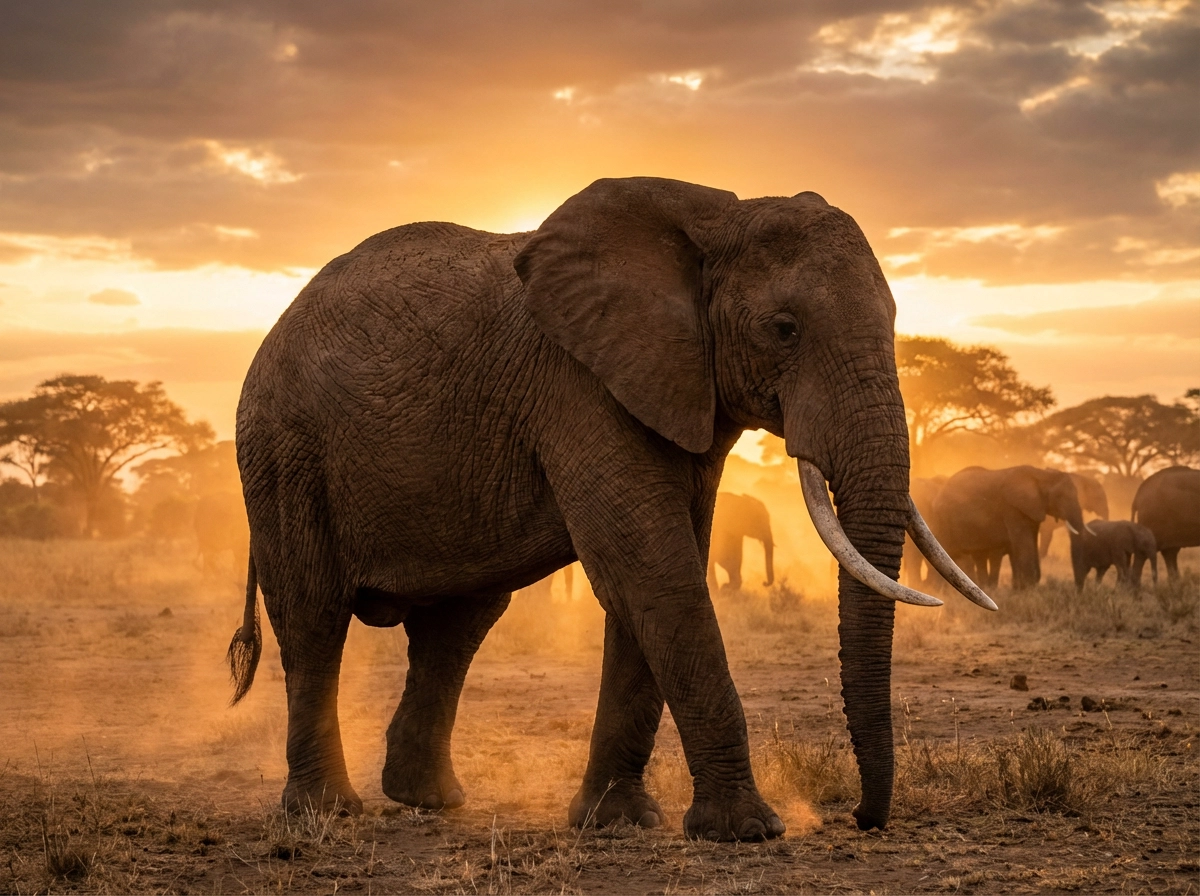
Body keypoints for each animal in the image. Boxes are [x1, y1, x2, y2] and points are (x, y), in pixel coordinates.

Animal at [227, 176, 992, 841]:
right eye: (783, 328)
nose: (862, 817)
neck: (717, 216)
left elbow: (651, 580)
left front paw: (615, 822)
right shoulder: (577, 385)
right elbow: (652, 569)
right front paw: (747, 831)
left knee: (457, 627)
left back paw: (429, 800)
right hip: (284, 449)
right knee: (314, 617)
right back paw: (326, 812)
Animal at [930, 466, 1085, 590]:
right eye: (1061, 496)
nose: (1077, 590)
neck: (1041, 474)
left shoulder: (1031, 509)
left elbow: (1030, 542)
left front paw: (1024, 587)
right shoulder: (1012, 508)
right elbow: (1024, 543)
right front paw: (1028, 589)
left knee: (978, 555)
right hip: (942, 519)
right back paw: (940, 590)